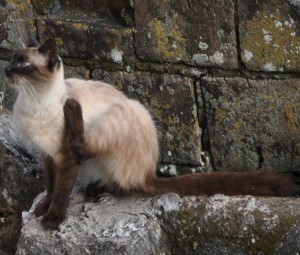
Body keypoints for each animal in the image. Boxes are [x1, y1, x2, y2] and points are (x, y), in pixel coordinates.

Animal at [4, 38, 298, 230]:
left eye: (24, 65)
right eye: (12, 59)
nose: (6, 70)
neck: (33, 102)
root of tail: (148, 174)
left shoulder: (65, 158)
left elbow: (61, 191)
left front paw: (52, 219)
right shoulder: (48, 158)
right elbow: (50, 187)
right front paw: (42, 209)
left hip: (125, 111)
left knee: (91, 153)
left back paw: (73, 110)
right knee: (117, 183)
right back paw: (94, 189)